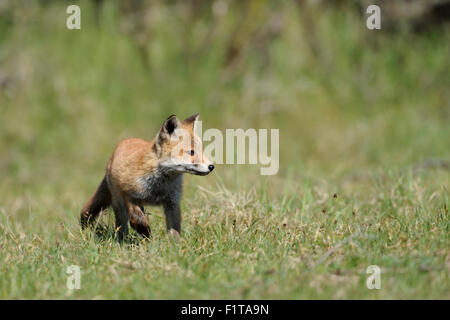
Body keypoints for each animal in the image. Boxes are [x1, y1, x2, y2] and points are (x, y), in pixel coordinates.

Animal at [79, 114, 214, 240]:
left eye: (201, 151)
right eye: (191, 152)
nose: (211, 166)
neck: (158, 186)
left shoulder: (173, 202)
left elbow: (174, 229)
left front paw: (175, 247)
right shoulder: (128, 195)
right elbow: (137, 218)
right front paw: (145, 232)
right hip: (118, 203)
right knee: (122, 225)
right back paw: (123, 240)